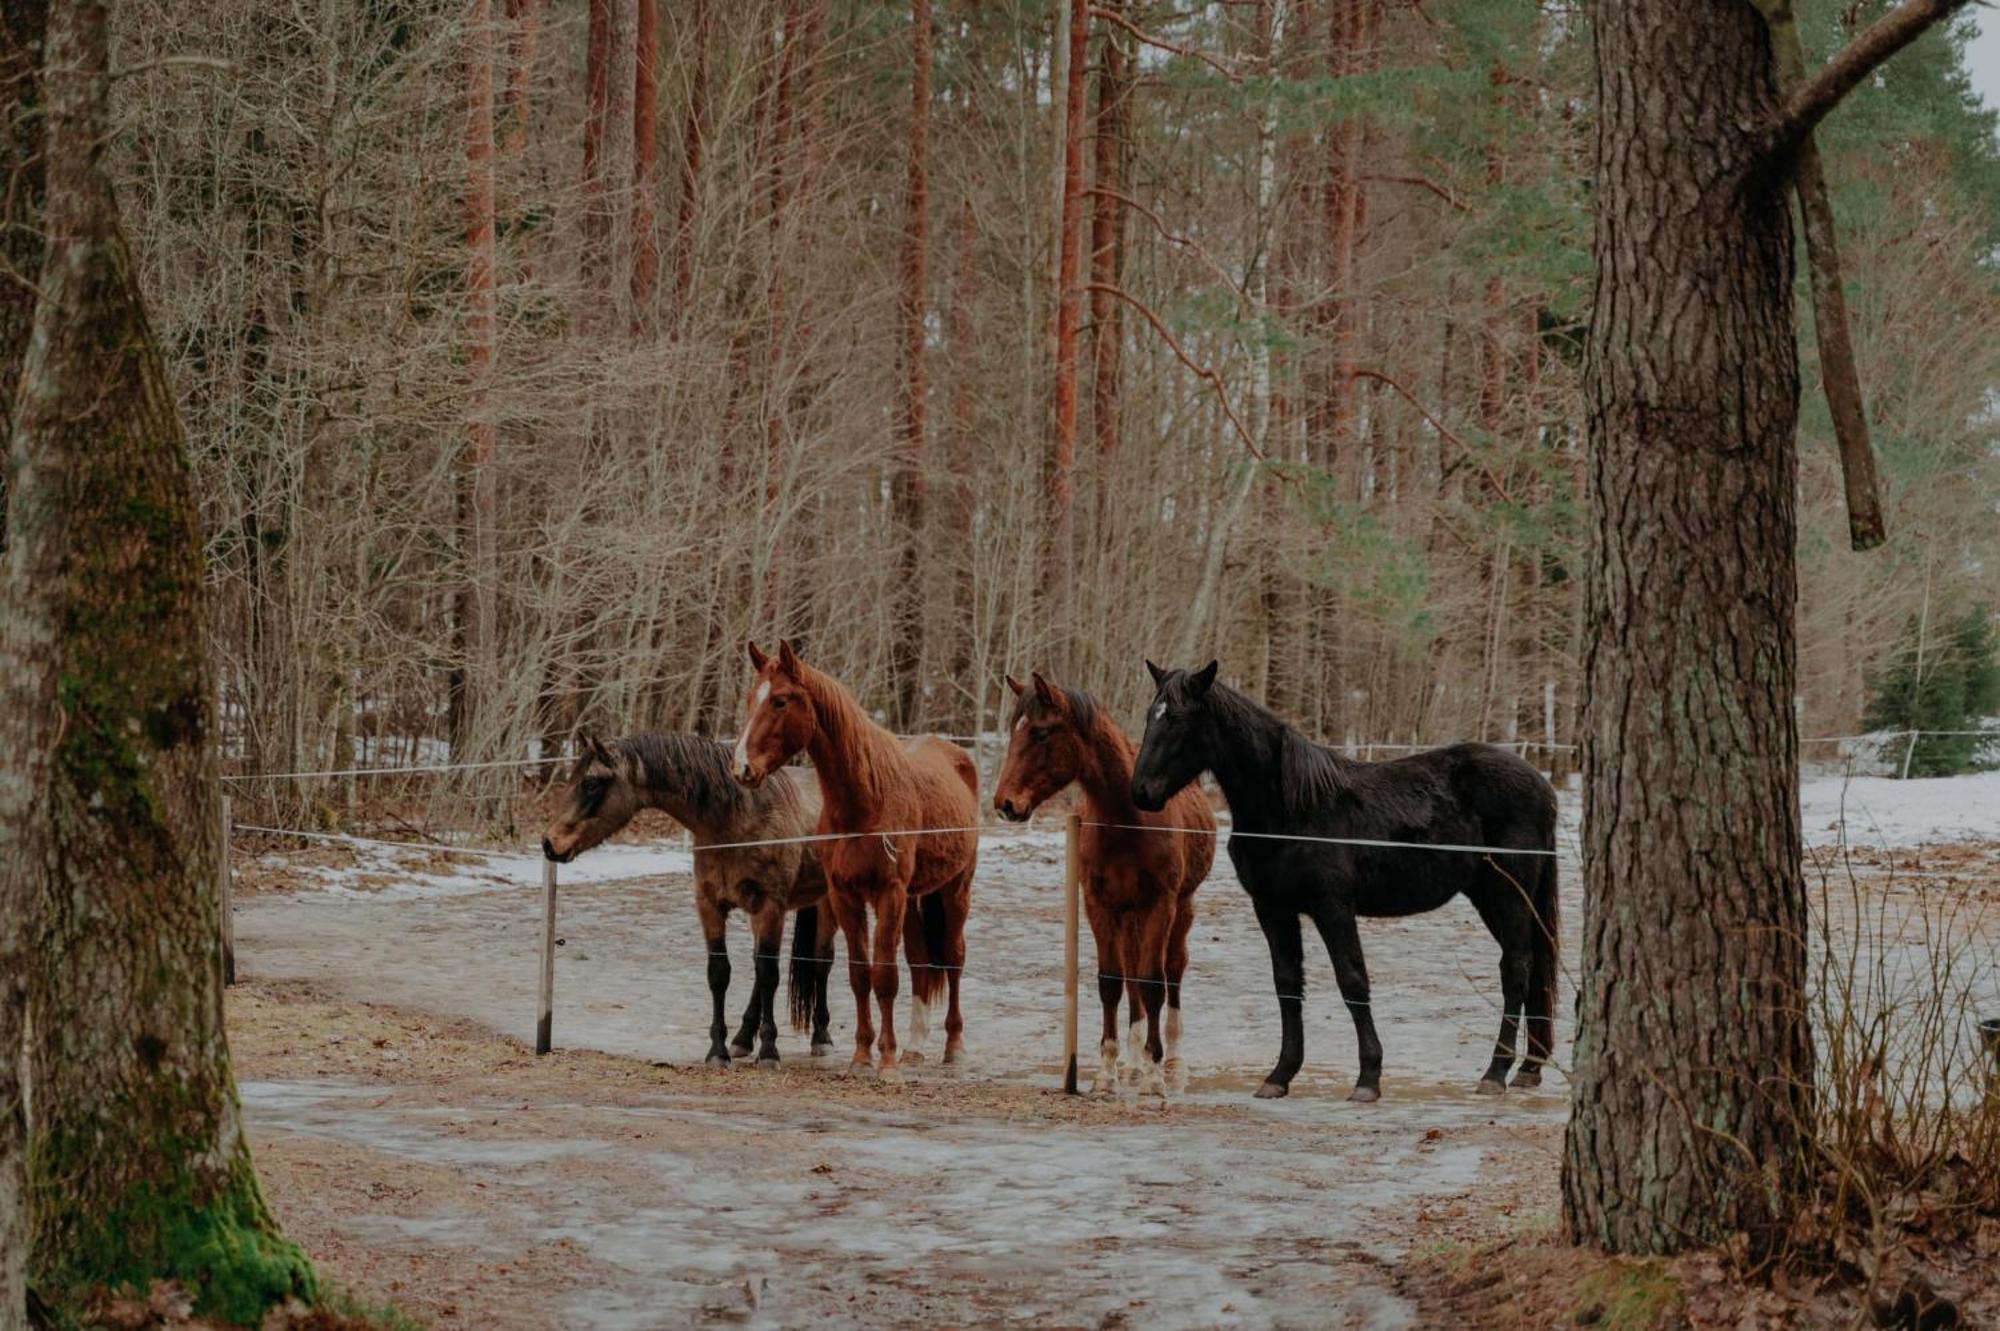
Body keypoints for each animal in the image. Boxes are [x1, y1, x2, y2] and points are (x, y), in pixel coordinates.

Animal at [540, 731, 836, 1063]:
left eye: (591, 783)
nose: (549, 843)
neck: (738, 821)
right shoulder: (709, 905)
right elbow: (720, 973)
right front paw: (718, 1051)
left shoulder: (771, 907)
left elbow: (769, 973)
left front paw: (769, 1051)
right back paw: (743, 1037)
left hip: (827, 905)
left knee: (821, 962)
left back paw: (821, 1036)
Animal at [736, 635, 984, 1079]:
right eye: (751, 698)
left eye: (780, 701)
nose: (742, 766)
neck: (865, 799)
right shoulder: (844, 896)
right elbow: (859, 974)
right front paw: (862, 1056)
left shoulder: (889, 893)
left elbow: (884, 976)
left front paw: (885, 1062)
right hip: (917, 899)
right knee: (921, 961)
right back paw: (914, 1047)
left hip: (956, 889)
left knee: (954, 958)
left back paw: (953, 1047)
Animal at [988, 667, 1208, 1095]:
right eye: (1012, 729)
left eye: (1040, 733)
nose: (1005, 804)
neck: (1128, 819)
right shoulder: (1098, 903)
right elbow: (1112, 981)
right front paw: (1107, 1073)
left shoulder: (1161, 903)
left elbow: (1153, 981)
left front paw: (1154, 1076)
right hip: (1130, 914)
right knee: (1132, 976)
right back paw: (1133, 1061)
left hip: (1182, 908)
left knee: (1173, 971)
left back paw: (1172, 1062)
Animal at [1136, 655, 1552, 1095]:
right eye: (1151, 715)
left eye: (1177, 719)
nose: (1141, 792)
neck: (1289, 810)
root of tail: (1541, 784)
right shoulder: (1272, 908)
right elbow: (1287, 984)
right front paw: (1280, 1075)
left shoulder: (1332, 907)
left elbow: (1352, 981)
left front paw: (1368, 1077)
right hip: (1490, 897)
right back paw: (1529, 1067)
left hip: (1509, 894)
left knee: (1516, 969)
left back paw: (1495, 1072)